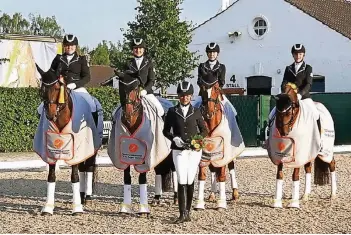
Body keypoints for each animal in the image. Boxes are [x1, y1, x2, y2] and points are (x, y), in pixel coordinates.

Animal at [34, 65, 102, 216]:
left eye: (57, 88)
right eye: (42, 89)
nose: (50, 114)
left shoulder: (76, 148)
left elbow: (74, 176)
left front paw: (76, 208)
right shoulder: (50, 149)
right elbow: (51, 176)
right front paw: (48, 207)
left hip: (91, 148)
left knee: (88, 167)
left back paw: (87, 197)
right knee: (83, 168)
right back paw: (82, 196)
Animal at [108, 71, 172, 217]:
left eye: (136, 87)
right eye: (121, 86)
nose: (128, 113)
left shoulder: (145, 154)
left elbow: (142, 179)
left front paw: (143, 209)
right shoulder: (123, 155)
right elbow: (127, 178)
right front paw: (125, 208)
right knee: (160, 171)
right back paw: (157, 198)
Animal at [195, 69, 245, 209]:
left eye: (217, 88)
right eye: (201, 87)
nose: (208, 111)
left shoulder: (224, 150)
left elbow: (222, 174)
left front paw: (221, 203)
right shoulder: (203, 149)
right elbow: (202, 174)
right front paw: (199, 202)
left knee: (231, 167)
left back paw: (235, 193)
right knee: (212, 169)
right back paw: (212, 193)